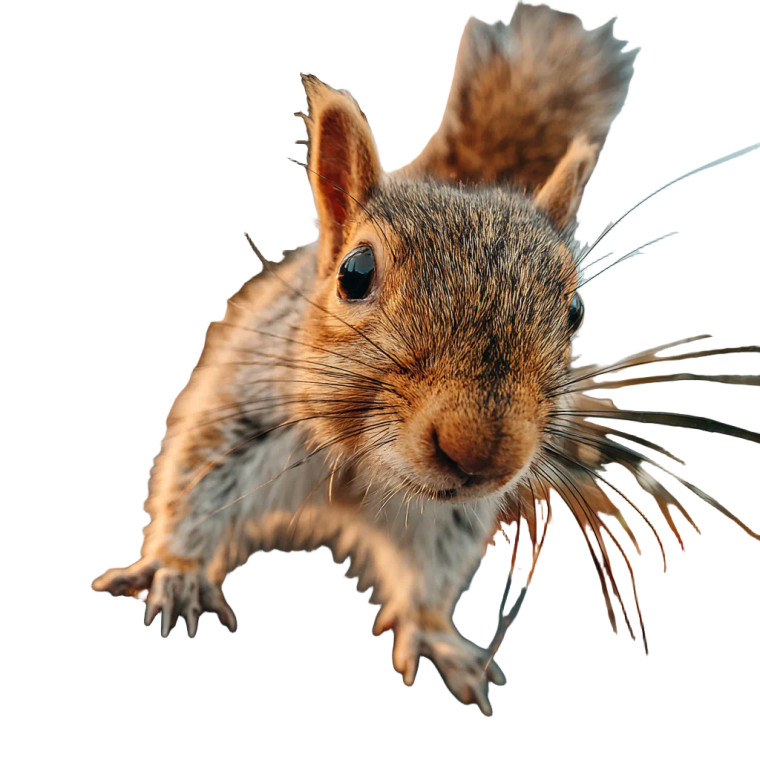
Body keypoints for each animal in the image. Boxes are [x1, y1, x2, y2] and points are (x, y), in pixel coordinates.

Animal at [92, 3, 760, 715]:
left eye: (577, 310)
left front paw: (438, 634)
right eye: (355, 273)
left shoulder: (454, 517)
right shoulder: (246, 406)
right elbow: (194, 482)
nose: (481, 450)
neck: (367, 466)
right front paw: (179, 571)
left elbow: (433, 570)